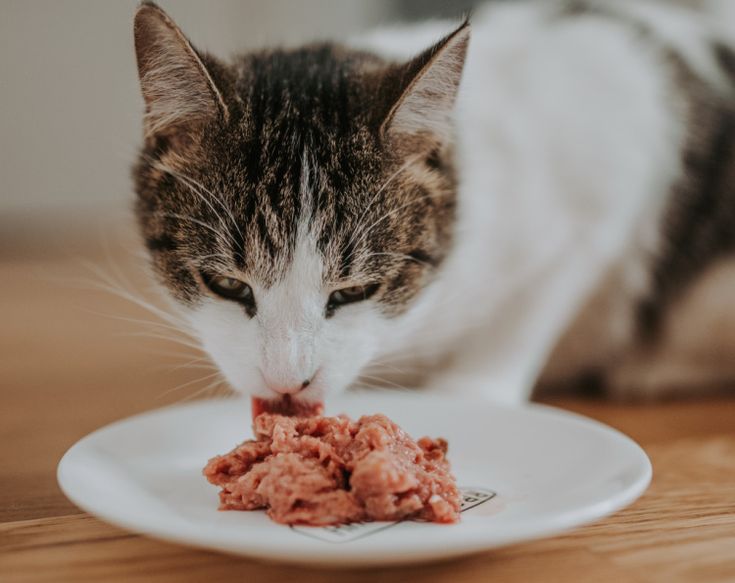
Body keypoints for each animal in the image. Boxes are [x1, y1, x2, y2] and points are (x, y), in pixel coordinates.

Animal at [135, 1, 735, 410]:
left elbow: (526, 316)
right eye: (227, 285)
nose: (287, 384)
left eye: (355, 292)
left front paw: (468, 393)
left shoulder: (603, 195)